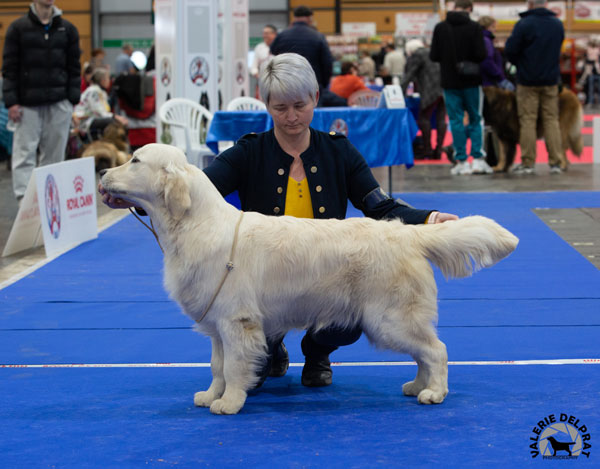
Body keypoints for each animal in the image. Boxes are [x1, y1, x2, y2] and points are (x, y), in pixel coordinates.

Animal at [101, 144, 516, 414]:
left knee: (436, 350)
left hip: (390, 319)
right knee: (423, 353)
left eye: (135, 160)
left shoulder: (237, 321)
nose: (102, 173)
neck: (196, 224)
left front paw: (230, 402)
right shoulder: (218, 324)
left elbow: (233, 366)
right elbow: (217, 366)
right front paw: (211, 394)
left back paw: (435, 393)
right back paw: (418, 386)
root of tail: (407, 234)